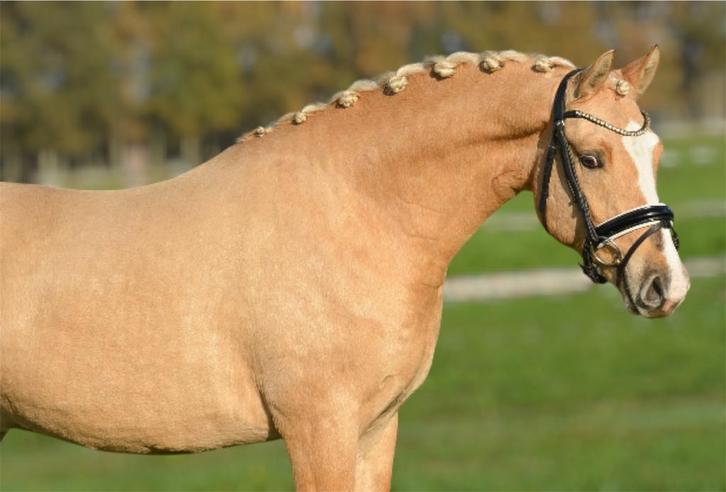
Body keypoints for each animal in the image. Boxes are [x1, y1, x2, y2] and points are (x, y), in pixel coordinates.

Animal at [0, 47, 689, 491]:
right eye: (593, 158)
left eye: (656, 152)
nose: (667, 284)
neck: (354, 211)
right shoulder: (318, 431)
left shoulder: (374, 430)